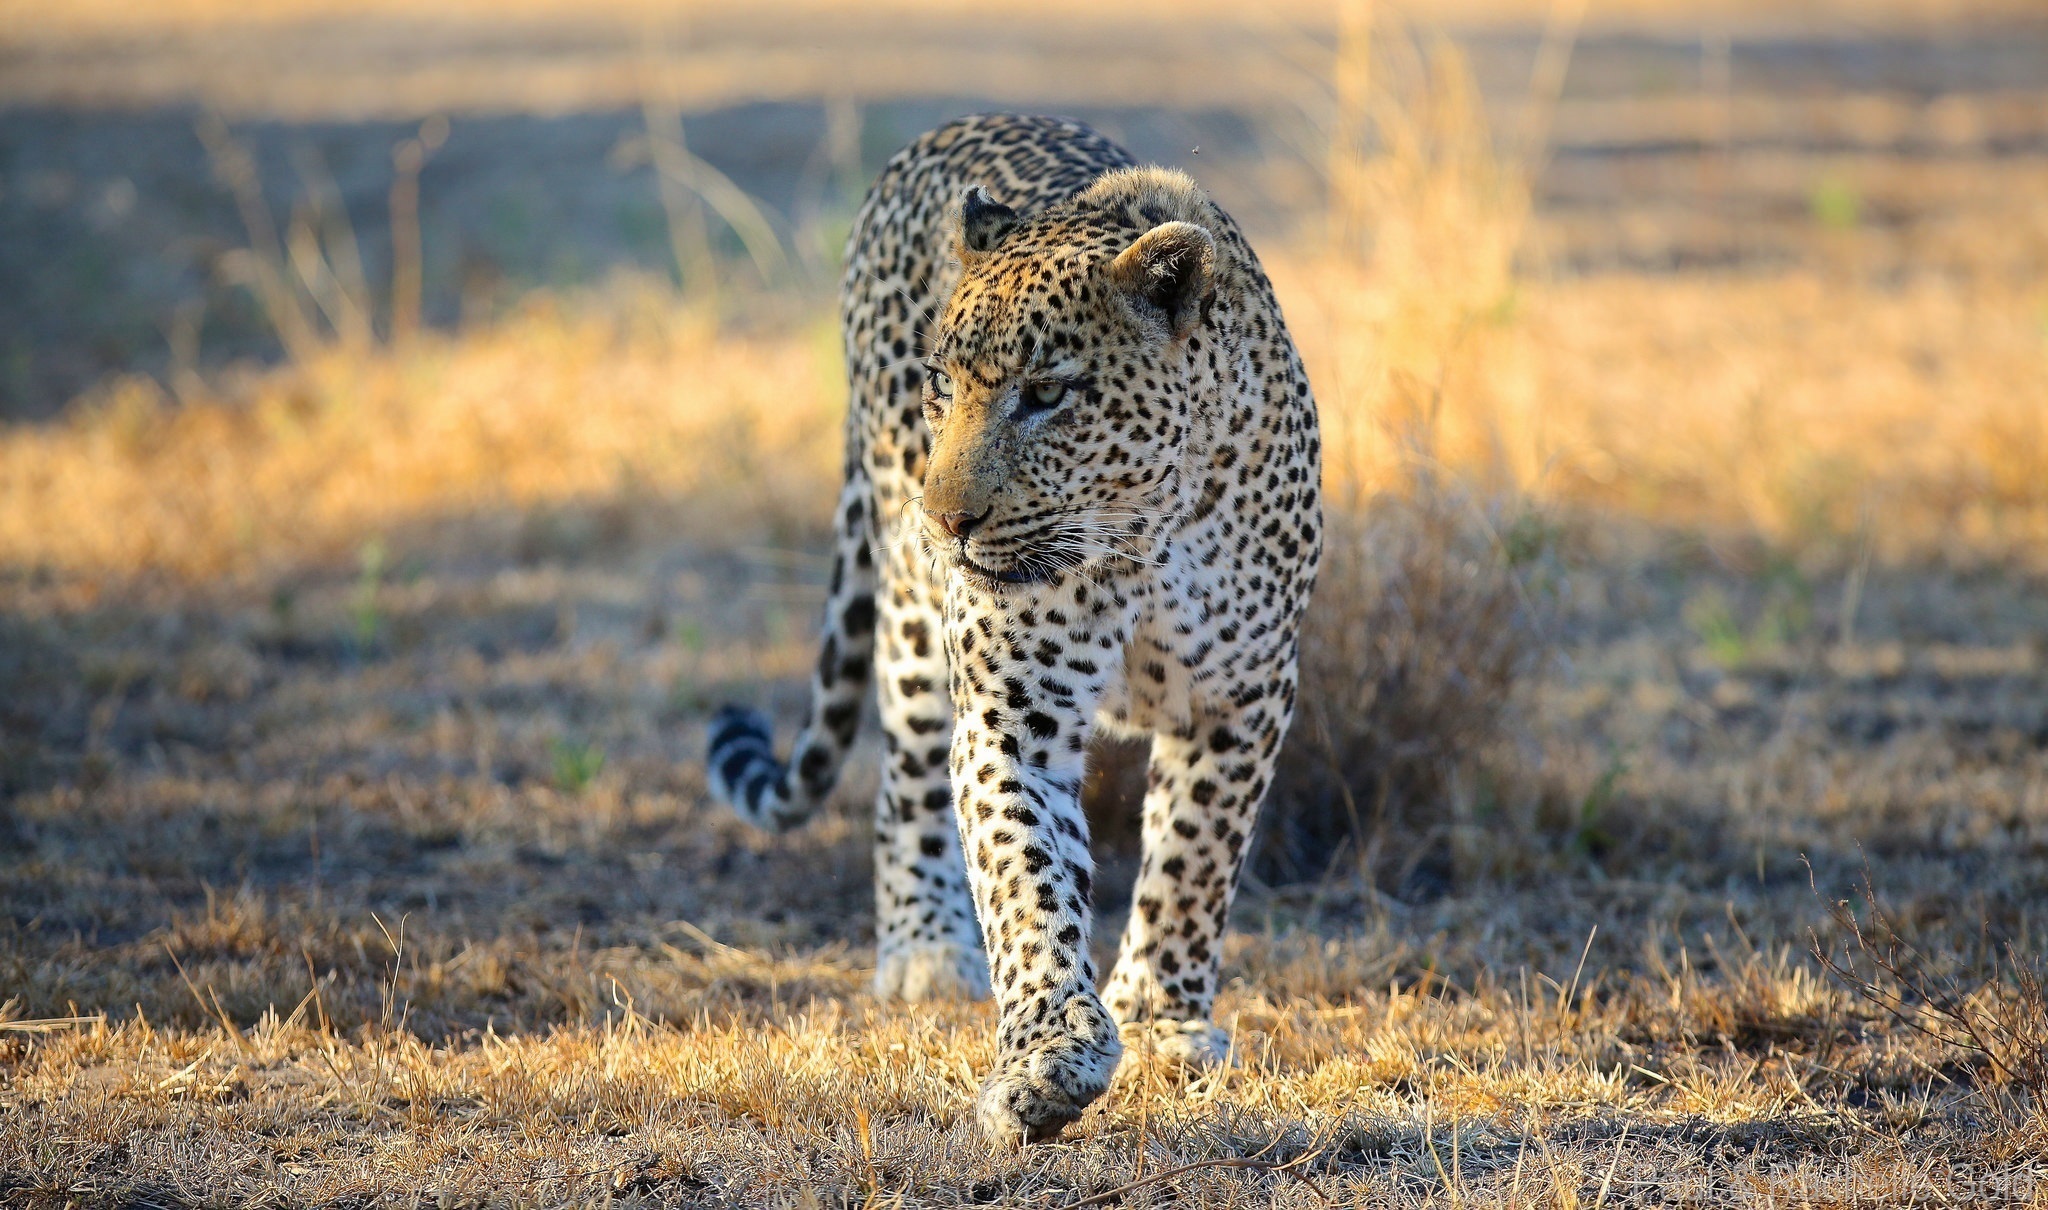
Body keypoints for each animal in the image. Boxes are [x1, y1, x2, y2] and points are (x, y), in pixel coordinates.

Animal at [708, 113, 1327, 1146]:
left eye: (1046, 394)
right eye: (942, 386)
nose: (946, 518)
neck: (1142, 532)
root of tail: (944, 130)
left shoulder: (1242, 699)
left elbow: (1194, 860)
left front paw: (1161, 1021)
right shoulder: (1013, 719)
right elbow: (1027, 882)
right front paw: (1048, 1056)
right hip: (912, 628)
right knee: (908, 787)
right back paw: (923, 949)